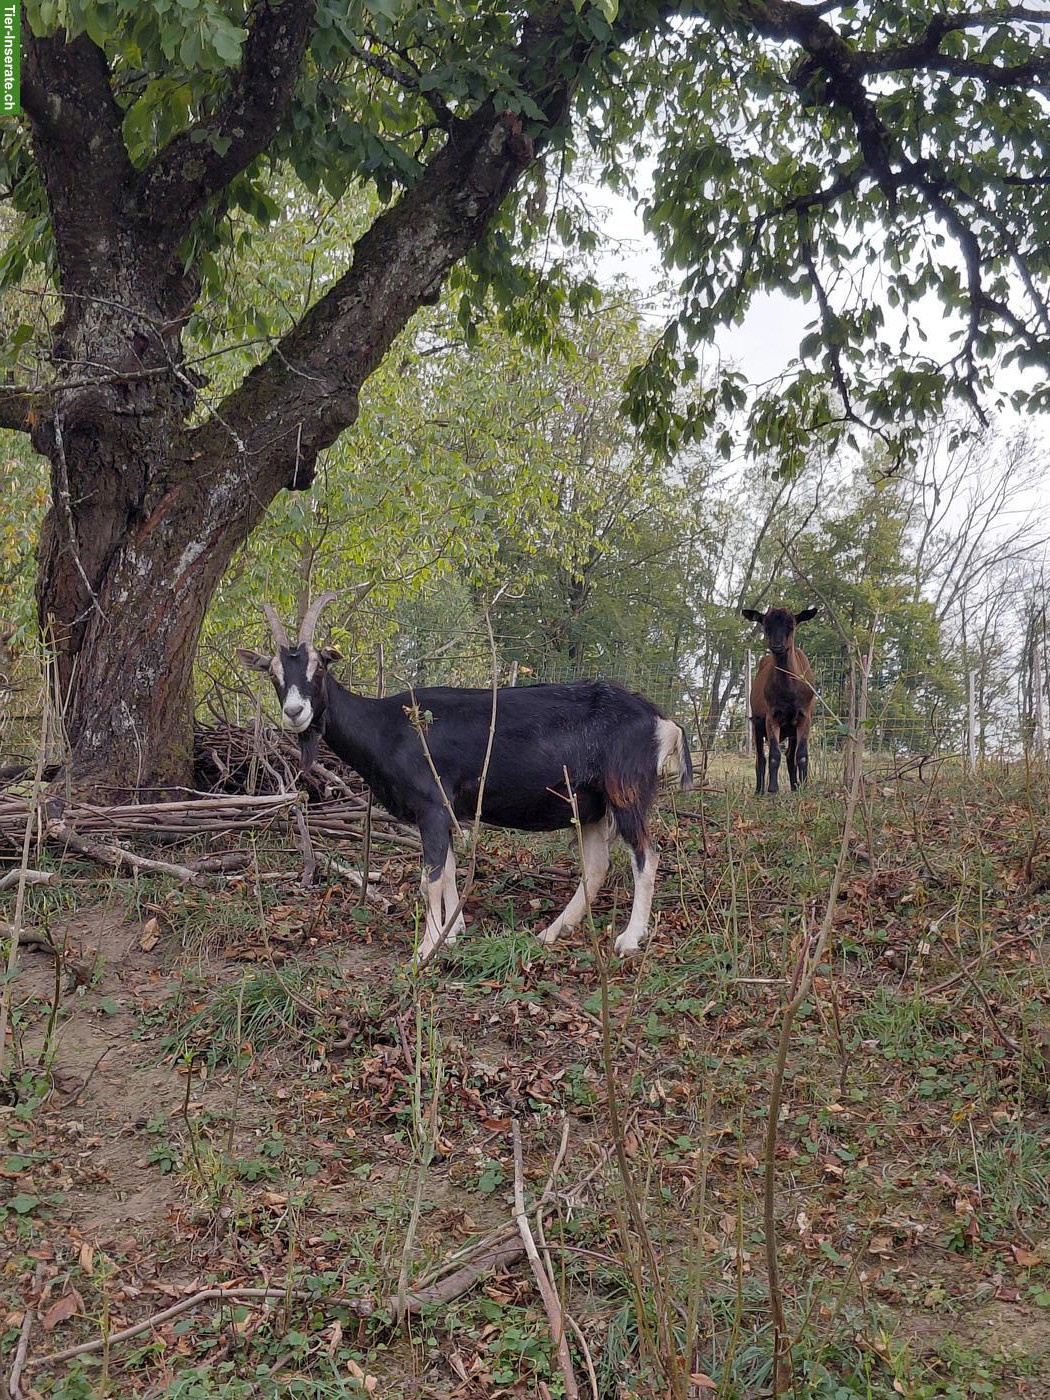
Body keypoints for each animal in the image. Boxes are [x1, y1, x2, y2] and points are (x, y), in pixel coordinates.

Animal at [238, 593, 693, 960]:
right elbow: (451, 868)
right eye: (274, 674)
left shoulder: (431, 805)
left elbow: (431, 879)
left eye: (318, 669)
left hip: (626, 790)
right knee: (597, 866)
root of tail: (661, 720)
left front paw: (428, 947)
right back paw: (553, 931)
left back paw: (629, 939)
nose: (295, 712)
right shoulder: (444, 810)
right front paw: (453, 930)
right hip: (590, 805)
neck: (387, 727)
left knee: (647, 855)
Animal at [742, 605, 818, 795]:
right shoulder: (771, 716)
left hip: (791, 730)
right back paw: (759, 790)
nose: (777, 646)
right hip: (757, 725)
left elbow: (802, 755)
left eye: (791, 625)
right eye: (766, 626)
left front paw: (804, 787)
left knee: (790, 755)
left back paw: (795, 786)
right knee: (760, 758)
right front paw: (772, 789)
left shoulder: (805, 717)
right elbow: (774, 755)